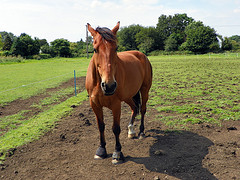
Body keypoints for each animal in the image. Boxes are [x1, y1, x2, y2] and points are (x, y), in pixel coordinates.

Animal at [85, 21, 152, 165]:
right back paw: (131, 130)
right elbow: (101, 126)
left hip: (144, 90)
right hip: (128, 96)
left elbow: (115, 128)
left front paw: (117, 153)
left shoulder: (116, 104)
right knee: (134, 108)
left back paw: (141, 132)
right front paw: (101, 150)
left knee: (142, 109)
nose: (109, 86)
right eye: (95, 49)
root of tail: (141, 55)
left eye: (116, 48)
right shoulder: (94, 104)